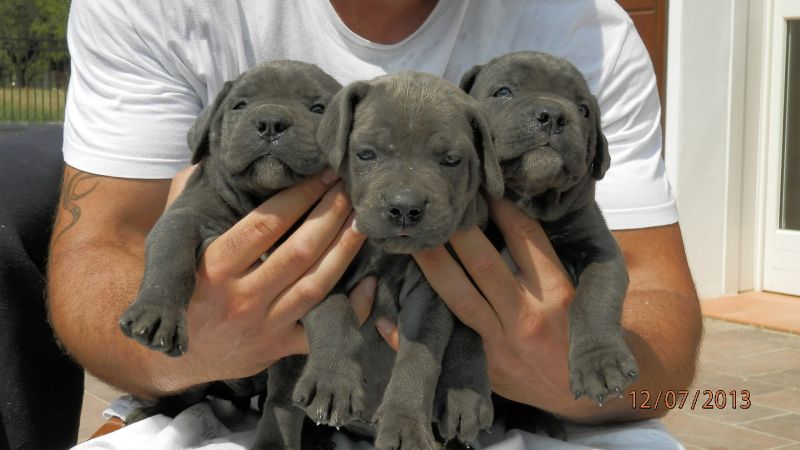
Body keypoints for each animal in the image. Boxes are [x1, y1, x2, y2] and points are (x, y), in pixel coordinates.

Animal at [119, 59, 340, 356]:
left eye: (318, 109)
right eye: (240, 105)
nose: (271, 122)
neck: (261, 198)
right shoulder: (182, 217)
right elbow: (172, 260)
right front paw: (156, 313)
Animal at [255, 72, 506, 450]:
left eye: (450, 160)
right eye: (366, 154)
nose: (404, 207)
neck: (389, 254)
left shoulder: (429, 298)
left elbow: (419, 358)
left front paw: (405, 426)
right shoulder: (319, 271)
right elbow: (335, 312)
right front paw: (333, 381)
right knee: (281, 402)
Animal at [462, 51, 636, 404]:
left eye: (583, 109)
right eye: (503, 92)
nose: (553, 115)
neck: (531, 200)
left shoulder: (600, 252)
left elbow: (594, 298)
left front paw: (601, 361)